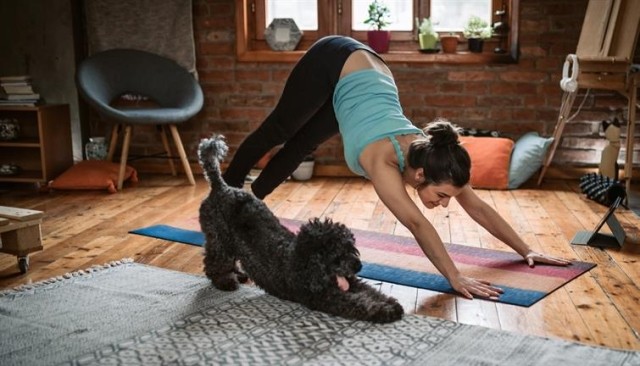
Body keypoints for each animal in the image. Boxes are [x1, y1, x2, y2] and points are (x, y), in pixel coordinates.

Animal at [198, 135, 402, 324]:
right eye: (337, 254)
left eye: (351, 248)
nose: (358, 266)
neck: (303, 261)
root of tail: (220, 187)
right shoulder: (326, 297)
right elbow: (359, 303)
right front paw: (384, 311)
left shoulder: (350, 281)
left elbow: (370, 291)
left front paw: (390, 302)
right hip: (219, 239)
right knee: (213, 263)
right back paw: (225, 281)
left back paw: (238, 274)